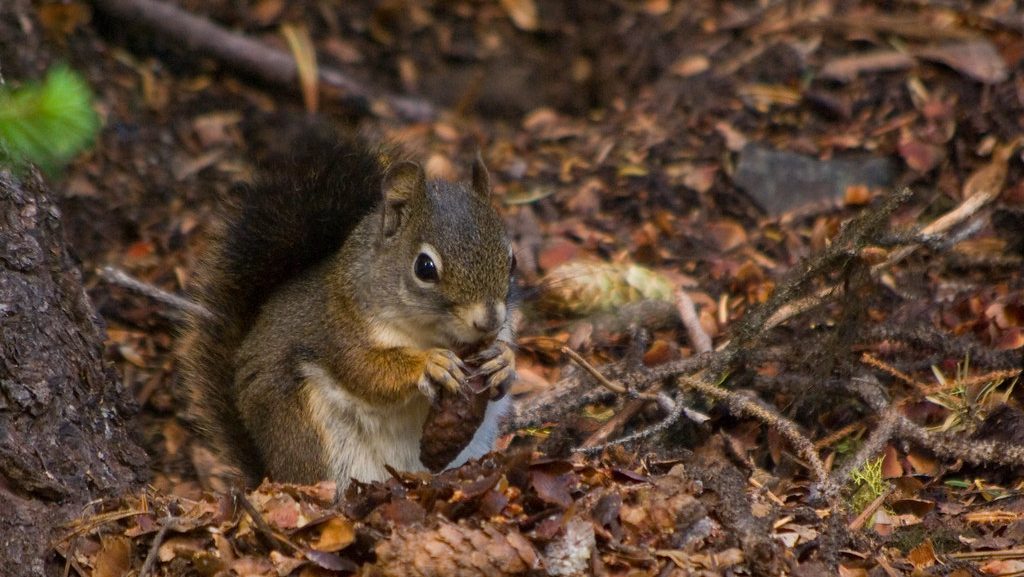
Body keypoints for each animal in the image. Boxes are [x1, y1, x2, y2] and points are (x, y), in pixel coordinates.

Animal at [178, 135, 520, 487]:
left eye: (513, 261)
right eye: (424, 268)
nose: (490, 320)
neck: (430, 334)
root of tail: (270, 474)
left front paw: (503, 360)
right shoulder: (339, 328)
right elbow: (365, 370)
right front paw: (429, 364)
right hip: (309, 432)